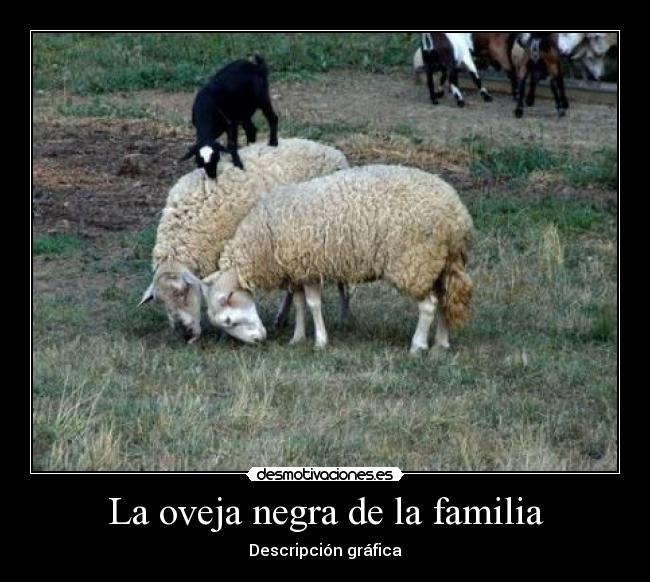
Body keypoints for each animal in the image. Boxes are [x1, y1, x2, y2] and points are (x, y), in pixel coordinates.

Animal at [139, 138, 350, 343]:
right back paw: (283, 318)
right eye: (161, 301)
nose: (186, 335)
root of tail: (330, 150)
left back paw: (343, 316)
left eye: (181, 292)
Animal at [201, 164, 473, 354]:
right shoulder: (298, 270)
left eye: (228, 321)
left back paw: (418, 346)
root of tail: (458, 216)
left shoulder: (310, 266)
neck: (262, 242)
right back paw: (441, 343)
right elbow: (300, 304)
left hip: (414, 262)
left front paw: (320, 341)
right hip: (440, 263)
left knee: (428, 305)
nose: (259, 340)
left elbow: (313, 305)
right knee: (446, 299)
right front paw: (297, 338)